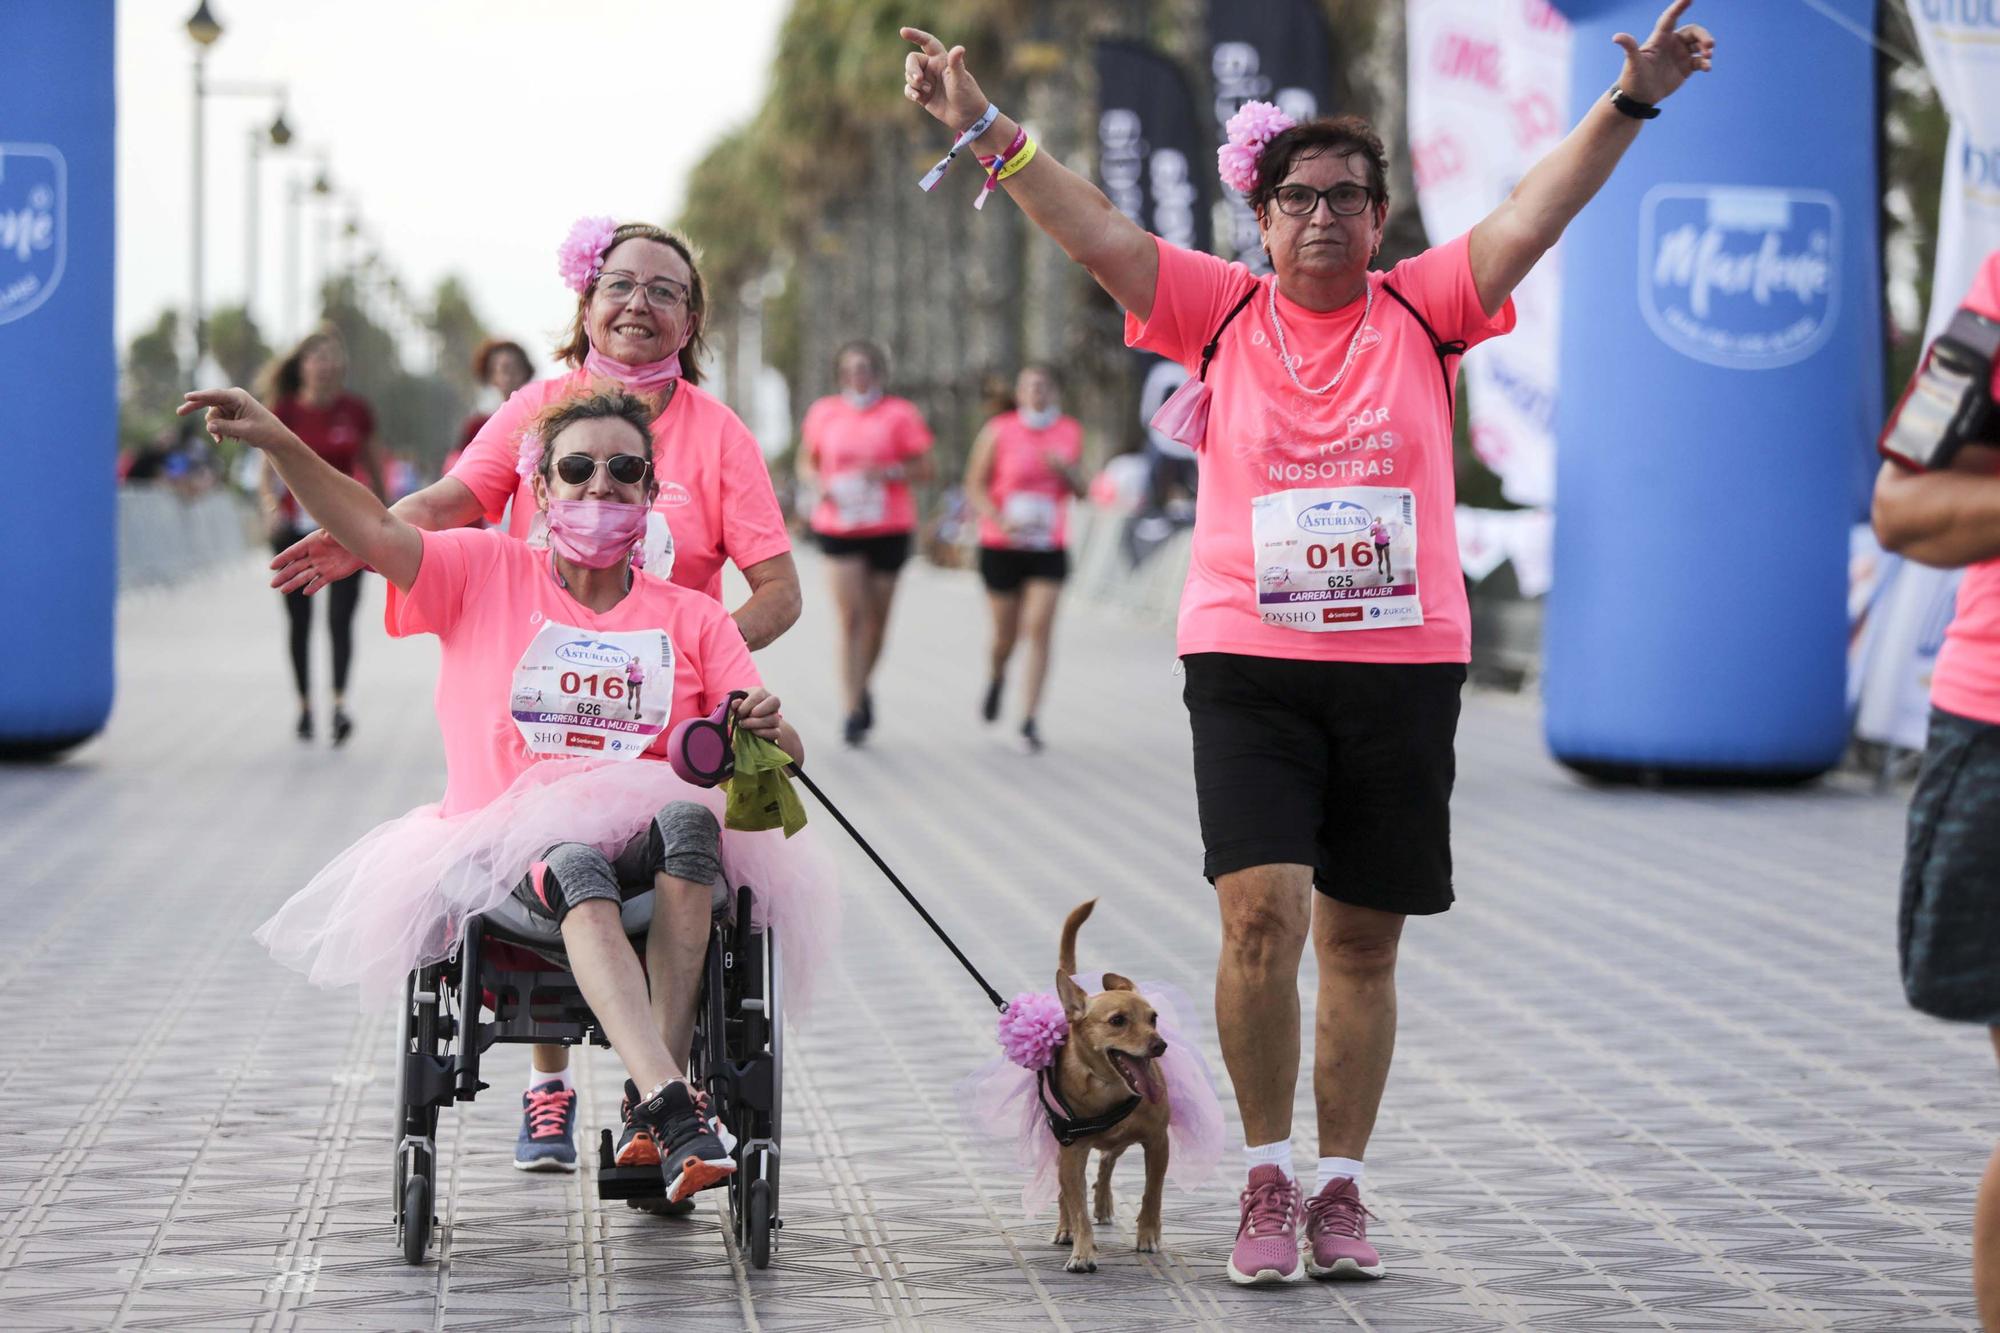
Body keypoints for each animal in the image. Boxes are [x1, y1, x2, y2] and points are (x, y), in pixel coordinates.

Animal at [1048, 892, 1168, 1264]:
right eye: (1117, 1021)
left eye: (1154, 1018)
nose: (1160, 1045)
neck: (1109, 1088)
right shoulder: (1071, 1153)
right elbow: (1076, 1205)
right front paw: (1083, 1251)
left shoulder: (1158, 1142)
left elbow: (1152, 1194)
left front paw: (1148, 1235)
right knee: (1068, 1191)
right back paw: (1066, 1228)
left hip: (1121, 1140)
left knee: (1107, 1159)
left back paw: (1102, 1202)